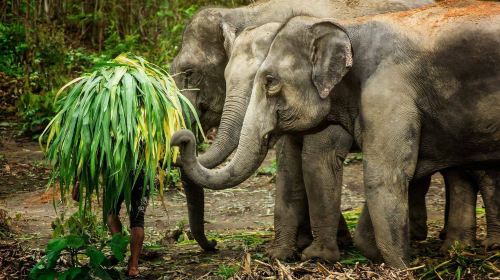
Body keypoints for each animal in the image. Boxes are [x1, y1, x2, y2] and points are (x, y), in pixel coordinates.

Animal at [172, 0, 500, 266]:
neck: (252, 12)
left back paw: (470, 246)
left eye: (190, 73)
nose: (213, 245)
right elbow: (289, 165)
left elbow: (316, 158)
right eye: (224, 76)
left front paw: (319, 255)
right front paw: (282, 254)